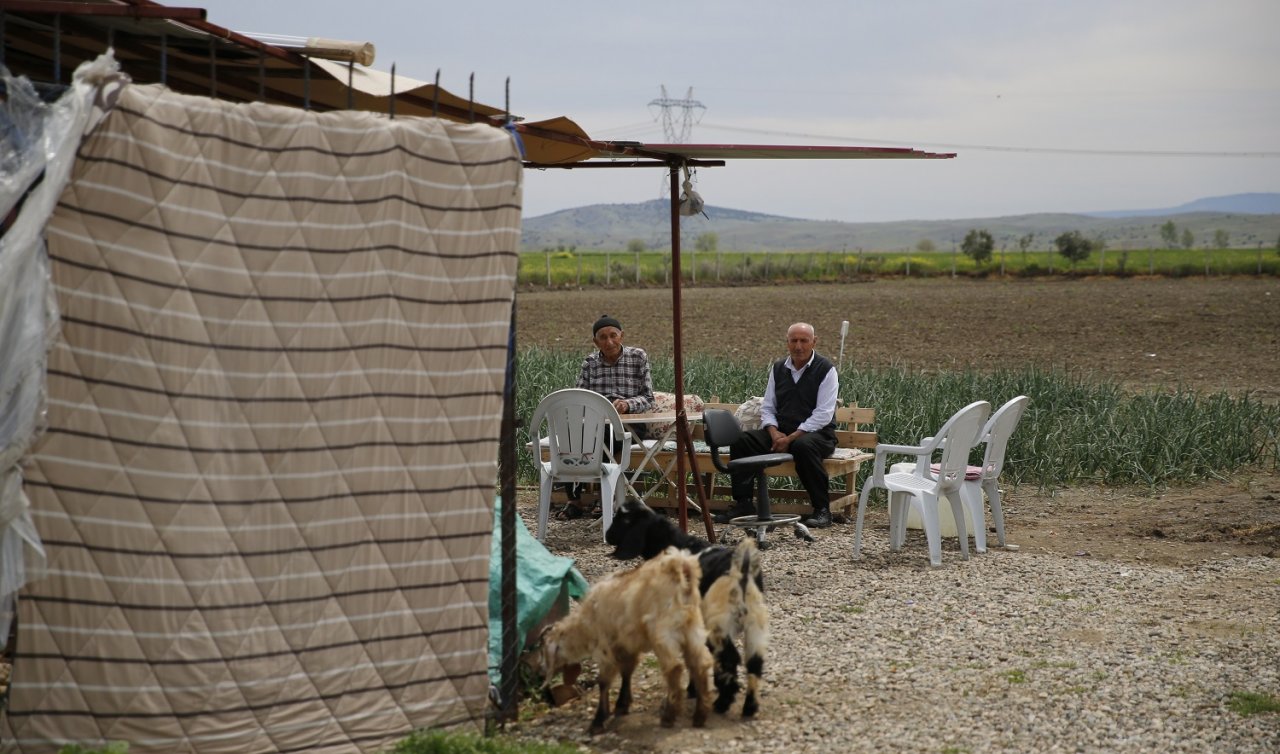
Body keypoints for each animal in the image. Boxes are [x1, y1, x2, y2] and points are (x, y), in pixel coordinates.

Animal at [529, 542, 711, 732]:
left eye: (542, 650)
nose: (539, 669)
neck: (584, 623)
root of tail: (680, 566)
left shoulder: (604, 648)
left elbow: (604, 681)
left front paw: (598, 720)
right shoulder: (625, 645)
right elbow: (627, 671)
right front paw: (622, 705)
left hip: (663, 631)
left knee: (674, 668)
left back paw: (669, 716)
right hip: (693, 628)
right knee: (701, 664)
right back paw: (700, 714)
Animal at [601, 496, 762, 716]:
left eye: (624, 520)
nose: (607, 535)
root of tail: (742, 572)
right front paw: (694, 689)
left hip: (720, 623)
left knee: (729, 657)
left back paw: (722, 703)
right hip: (755, 623)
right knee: (754, 662)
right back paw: (749, 707)